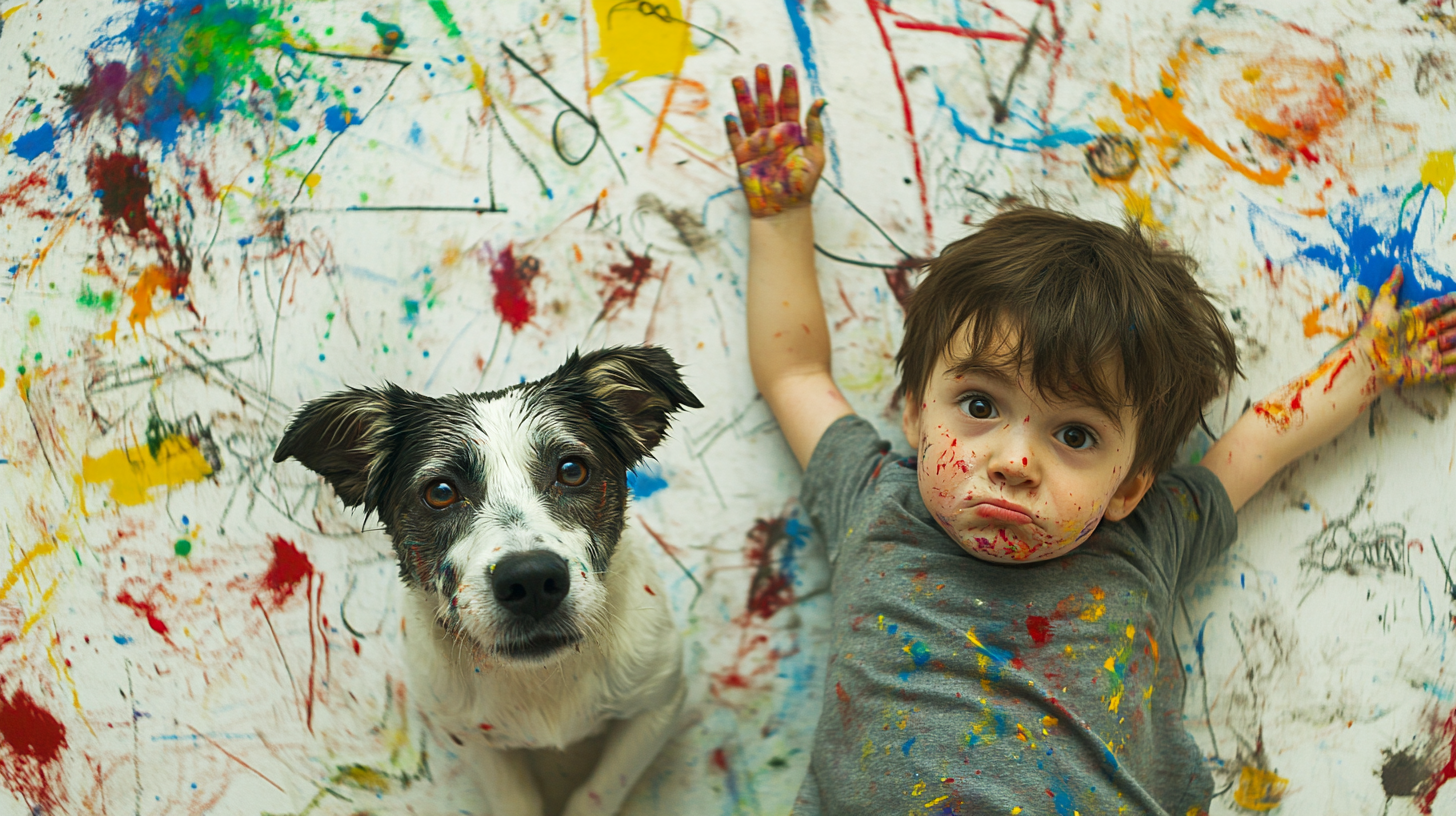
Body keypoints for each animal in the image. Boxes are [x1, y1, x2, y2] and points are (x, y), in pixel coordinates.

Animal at [278, 345, 704, 816]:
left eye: (572, 470)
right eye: (440, 492)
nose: (532, 581)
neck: (542, 678)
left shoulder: (660, 702)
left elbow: (600, 789)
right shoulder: (468, 734)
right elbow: (513, 797)